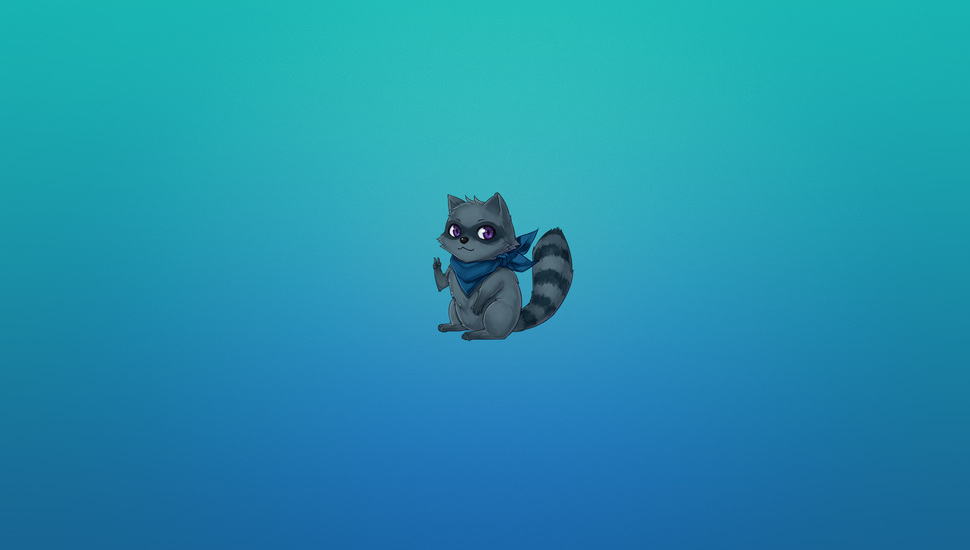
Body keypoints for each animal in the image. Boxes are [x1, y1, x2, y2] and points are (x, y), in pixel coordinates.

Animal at [432, 192, 573, 340]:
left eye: (486, 232)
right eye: (455, 230)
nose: (463, 239)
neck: (471, 265)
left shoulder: (500, 272)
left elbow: (491, 286)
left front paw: (481, 298)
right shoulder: (452, 268)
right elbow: (442, 284)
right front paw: (437, 267)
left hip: (499, 312)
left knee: (496, 329)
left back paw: (480, 334)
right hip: (456, 307)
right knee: (454, 306)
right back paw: (454, 326)